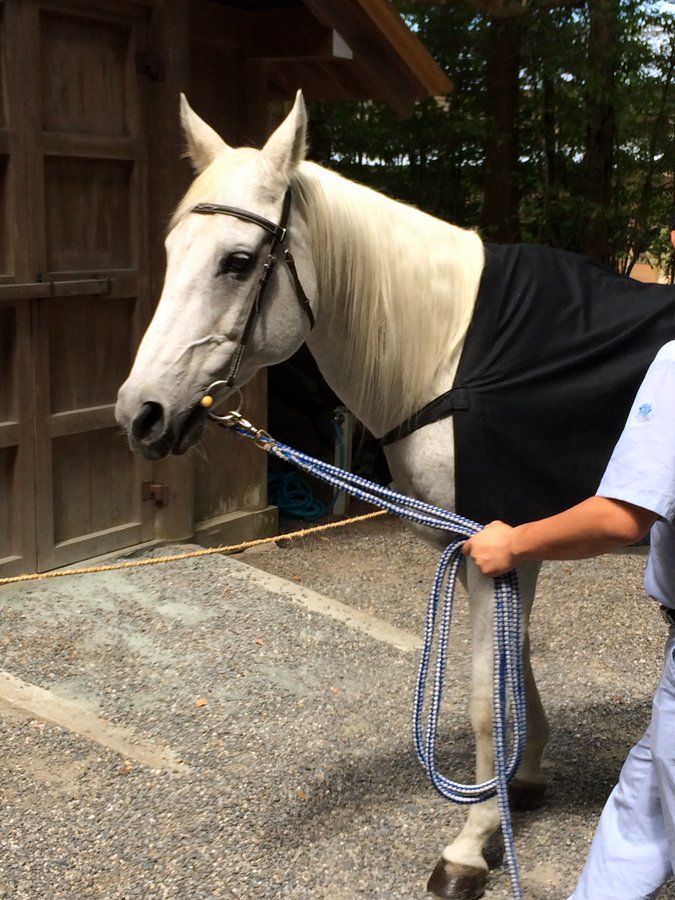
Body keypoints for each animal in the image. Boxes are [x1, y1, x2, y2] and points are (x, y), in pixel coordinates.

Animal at [115, 91, 675, 899]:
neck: (451, 357)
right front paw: (523, 781)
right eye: (169, 252)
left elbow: (483, 701)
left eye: (238, 262)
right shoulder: (500, 549)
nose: (141, 415)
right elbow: (514, 665)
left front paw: (470, 844)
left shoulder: (489, 545)